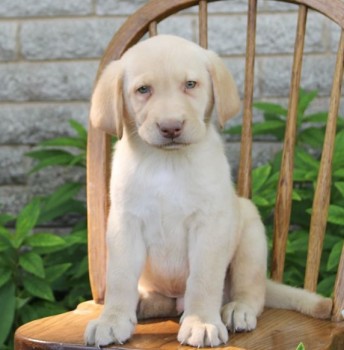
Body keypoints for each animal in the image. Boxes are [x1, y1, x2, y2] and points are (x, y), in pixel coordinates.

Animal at [84, 35, 334, 348]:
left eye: (191, 84)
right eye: (143, 90)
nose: (171, 127)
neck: (166, 163)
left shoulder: (209, 224)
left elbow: (203, 279)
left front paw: (201, 322)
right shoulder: (124, 223)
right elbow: (119, 278)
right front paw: (112, 319)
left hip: (250, 234)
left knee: (253, 291)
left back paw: (238, 309)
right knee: (162, 300)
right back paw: (144, 303)